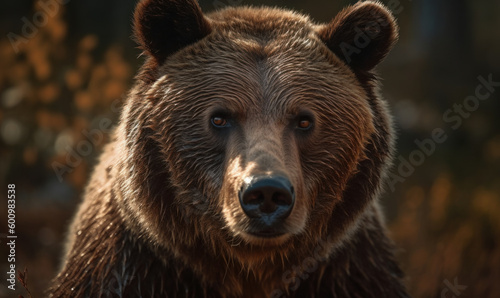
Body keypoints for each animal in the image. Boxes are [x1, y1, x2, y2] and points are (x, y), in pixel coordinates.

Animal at [50, 0, 408, 296]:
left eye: (305, 120)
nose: (266, 193)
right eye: (219, 118)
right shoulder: (126, 266)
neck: (249, 268)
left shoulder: (350, 270)